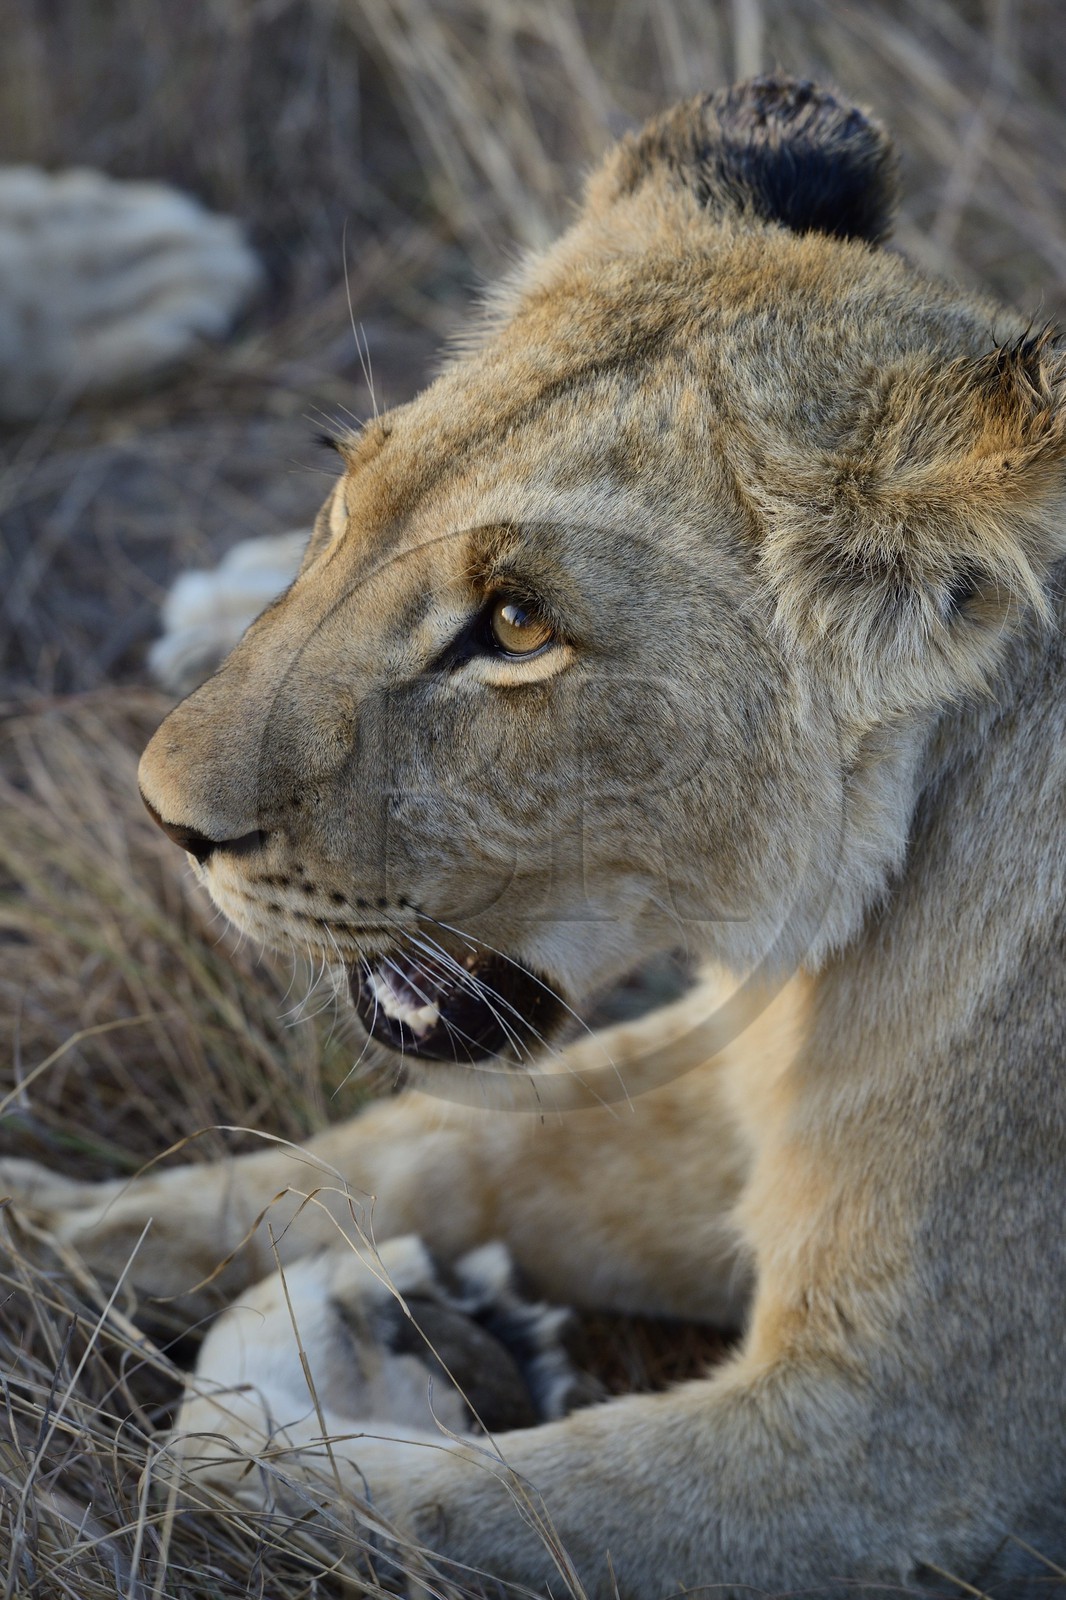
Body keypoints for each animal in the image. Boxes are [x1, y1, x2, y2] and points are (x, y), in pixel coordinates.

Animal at [5, 74, 1066, 1597]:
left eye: (515, 625)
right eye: (345, 494)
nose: (163, 818)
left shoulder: (906, 1460)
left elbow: (311, 1482)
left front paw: (353, 1346)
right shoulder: (727, 1094)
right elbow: (429, 1148)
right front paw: (43, 1228)